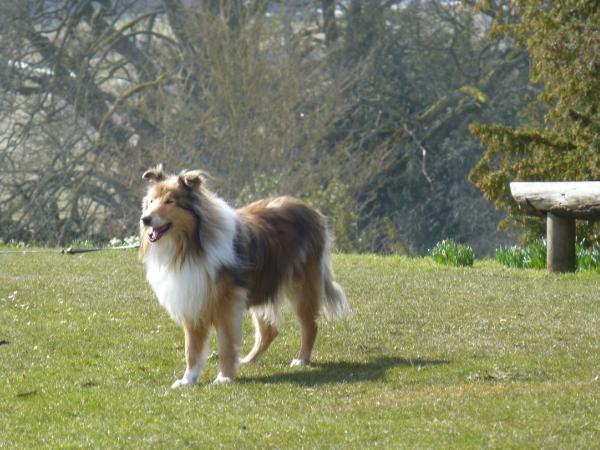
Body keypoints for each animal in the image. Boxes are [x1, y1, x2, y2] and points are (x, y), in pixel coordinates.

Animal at [139, 165, 350, 386]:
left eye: (169, 201)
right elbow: (192, 348)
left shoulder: (226, 304)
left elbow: (225, 343)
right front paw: (187, 380)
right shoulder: (192, 300)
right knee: (269, 331)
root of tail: (312, 210)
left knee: (310, 325)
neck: (190, 247)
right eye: (151, 201)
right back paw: (248, 360)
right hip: (260, 287)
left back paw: (301, 359)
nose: (145, 219)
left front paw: (224, 377)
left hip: (302, 286)